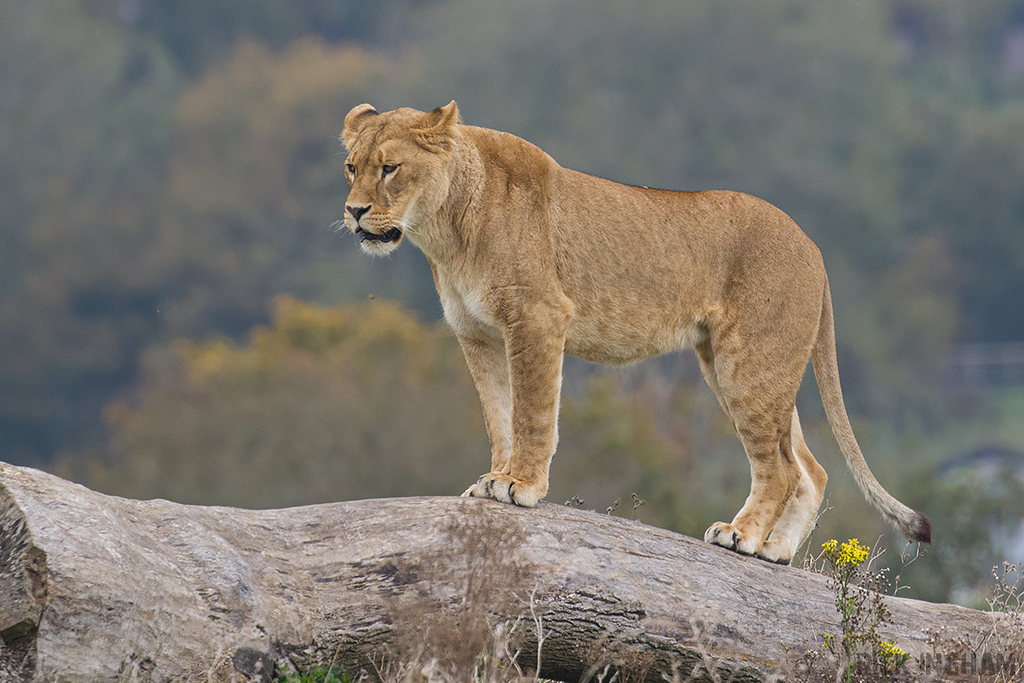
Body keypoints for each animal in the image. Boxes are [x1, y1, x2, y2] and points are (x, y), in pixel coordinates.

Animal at [339, 101, 931, 564]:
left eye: (390, 168)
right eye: (350, 167)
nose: (353, 211)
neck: (445, 230)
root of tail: (814, 249)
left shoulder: (538, 317)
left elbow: (532, 412)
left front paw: (519, 485)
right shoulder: (478, 335)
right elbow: (498, 416)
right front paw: (492, 480)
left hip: (749, 364)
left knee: (782, 468)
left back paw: (740, 536)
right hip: (745, 367)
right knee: (811, 468)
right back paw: (776, 550)